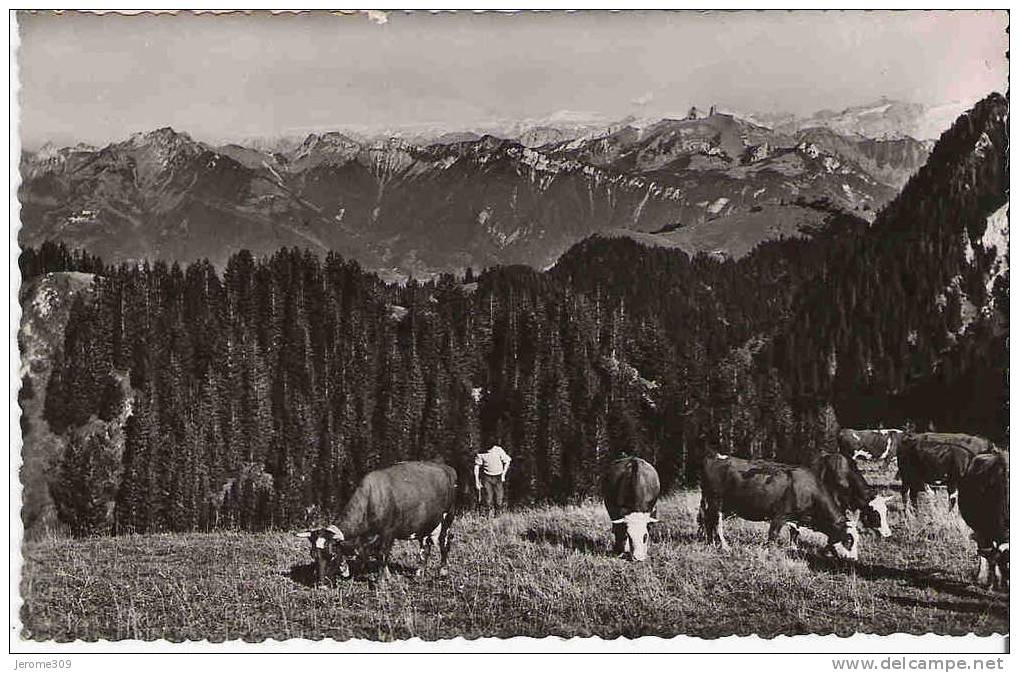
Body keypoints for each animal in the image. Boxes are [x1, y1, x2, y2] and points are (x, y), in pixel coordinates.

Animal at [295, 460, 454, 579]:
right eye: (313, 555)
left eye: (332, 554)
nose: (321, 582)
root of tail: (447, 468)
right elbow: (376, 556)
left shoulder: (388, 533)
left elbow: (382, 554)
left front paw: (382, 580)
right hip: (425, 524)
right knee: (425, 547)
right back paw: (420, 572)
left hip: (447, 518)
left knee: (444, 542)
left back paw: (443, 571)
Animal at [696, 454, 855, 558]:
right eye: (849, 540)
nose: (853, 559)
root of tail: (713, 457)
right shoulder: (780, 515)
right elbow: (773, 535)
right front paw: (769, 553)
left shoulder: (796, 518)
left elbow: (795, 534)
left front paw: (793, 549)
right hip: (716, 500)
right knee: (715, 522)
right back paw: (723, 546)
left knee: (708, 522)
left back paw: (710, 543)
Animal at [957, 452, 1006, 587]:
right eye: (1005, 566)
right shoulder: (986, 530)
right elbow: (991, 558)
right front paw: (993, 582)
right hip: (977, 527)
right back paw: (981, 577)